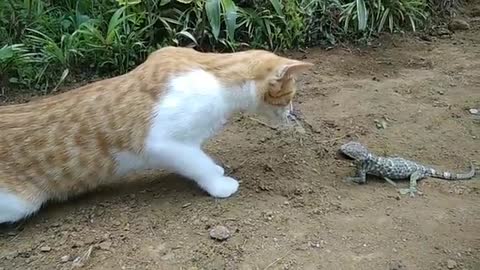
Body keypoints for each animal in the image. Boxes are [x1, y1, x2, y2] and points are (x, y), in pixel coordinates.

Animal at [0, 47, 314, 224]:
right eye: (290, 96)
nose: (293, 112)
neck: (217, 77)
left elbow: (200, 156)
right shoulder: (160, 142)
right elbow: (196, 162)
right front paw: (219, 184)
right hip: (19, 203)